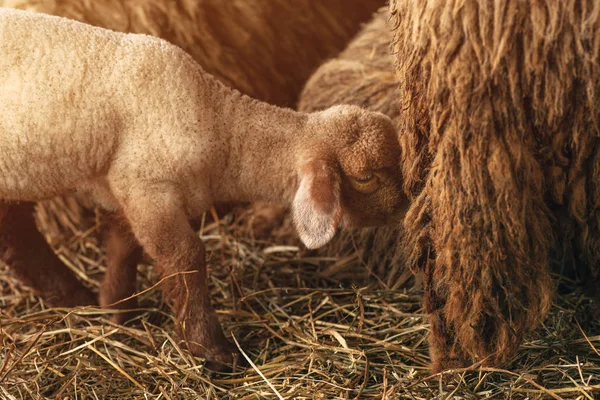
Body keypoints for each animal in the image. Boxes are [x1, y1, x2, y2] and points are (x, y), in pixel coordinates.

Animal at [0, 8, 406, 366]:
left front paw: (117, 310)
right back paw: (70, 296)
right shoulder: (148, 187)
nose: (405, 207)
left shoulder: (122, 187)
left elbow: (122, 247)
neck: (218, 124)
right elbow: (186, 260)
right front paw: (210, 349)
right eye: (366, 178)